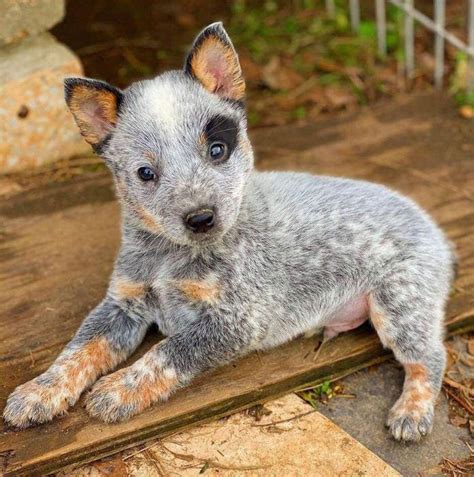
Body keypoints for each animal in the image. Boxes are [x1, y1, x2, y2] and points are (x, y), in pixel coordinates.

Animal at [4, 21, 456, 438]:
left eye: (217, 150)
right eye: (146, 173)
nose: (201, 217)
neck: (170, 257)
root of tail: (433, 228)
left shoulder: (239, 319)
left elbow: (167, 351)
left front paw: (117, 389)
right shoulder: (123, 302)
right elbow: (78, 348)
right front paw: (39, 391)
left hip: (398, 302)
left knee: (431, 356)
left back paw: (412, 412)